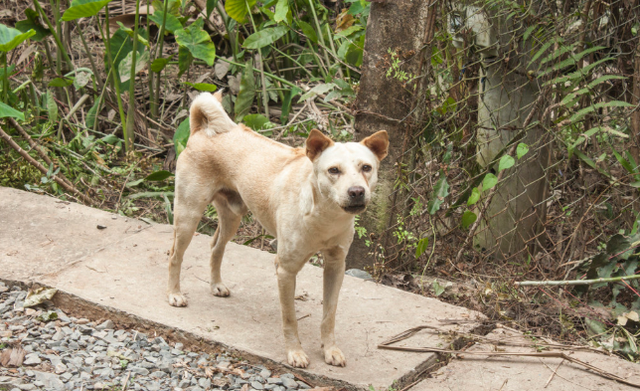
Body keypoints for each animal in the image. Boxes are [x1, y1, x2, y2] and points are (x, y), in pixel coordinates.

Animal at [168, 91, 388, 368]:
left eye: (366, 168)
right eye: (334, 170)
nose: (357, 192)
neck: (324, 215)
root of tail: (202, 129)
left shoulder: (336, 266)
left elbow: (329, 315)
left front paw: (330, 349)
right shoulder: (285, 270)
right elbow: (290, 318)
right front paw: (295, 352)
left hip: (232, 217)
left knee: (216, 246)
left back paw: (216, 284)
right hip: (188, 216)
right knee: (175, 255)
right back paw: (174, 294)